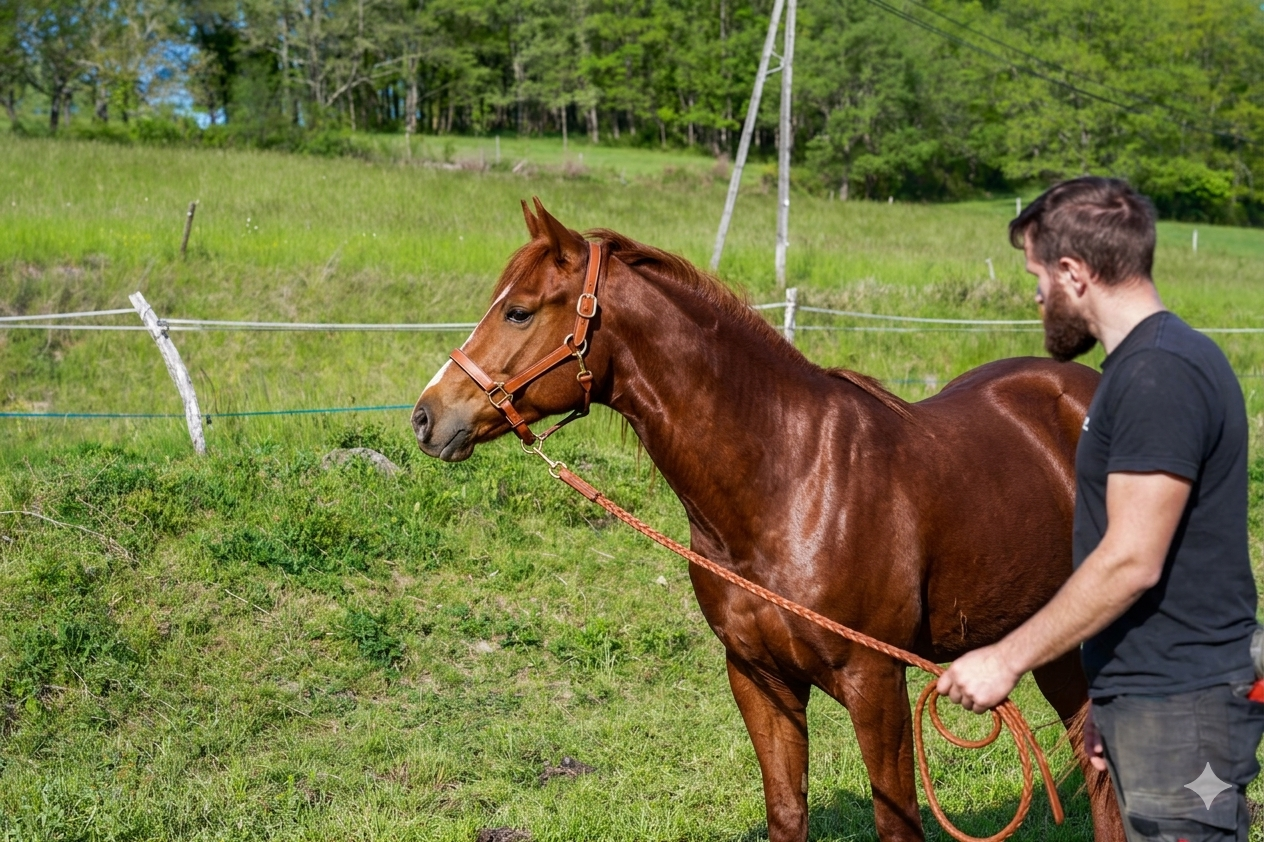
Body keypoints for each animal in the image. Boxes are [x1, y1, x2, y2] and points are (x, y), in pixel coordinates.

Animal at [411, 199, 1124, 842]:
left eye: (519, 310)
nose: (426, 416)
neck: (791, 483)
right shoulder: (758, 680)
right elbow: (786, 812)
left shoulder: (877, 686)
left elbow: (897, 823)